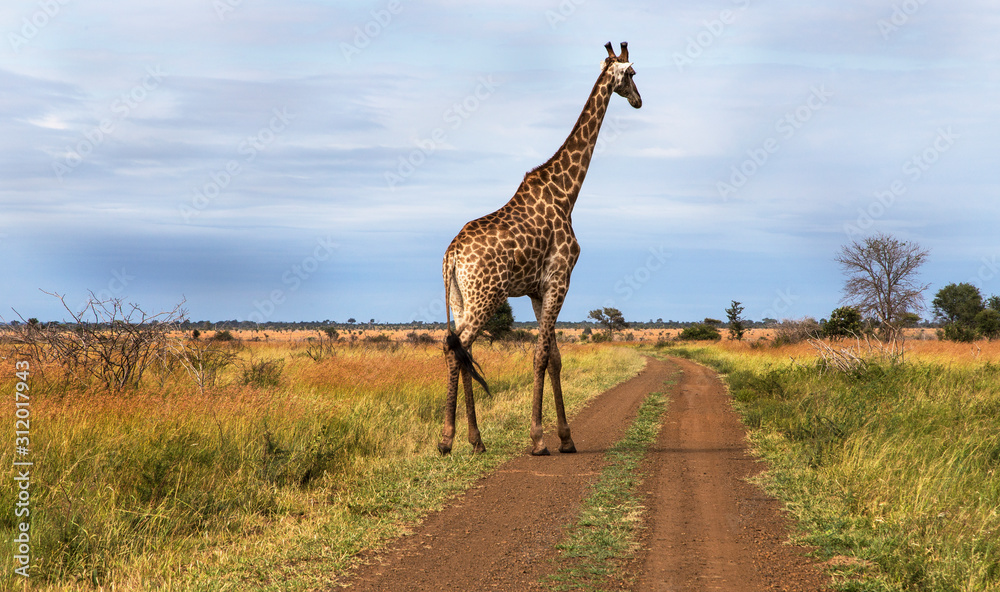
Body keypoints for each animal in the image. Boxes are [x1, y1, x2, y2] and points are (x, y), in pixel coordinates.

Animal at [439, 41, 642, 456]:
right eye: (632, 74)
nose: (639, 100)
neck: (567, 194)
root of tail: (451, 256)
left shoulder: (536, 289)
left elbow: (556, 359)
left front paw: (566, 437)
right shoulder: (559, 279)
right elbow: (542, 355)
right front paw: (539, 438)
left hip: (460, 299)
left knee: (461, 350)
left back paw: (475, 440)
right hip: (486, 295)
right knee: (459, 347)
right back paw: (447, 440)